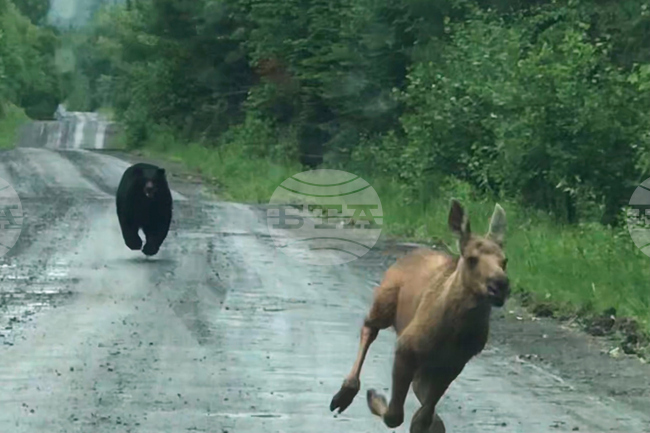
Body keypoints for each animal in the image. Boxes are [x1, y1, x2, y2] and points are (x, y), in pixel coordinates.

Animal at [329, 199, 509, 433]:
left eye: (505, 261)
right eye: (471, 259)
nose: (500, 285)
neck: (456, 331)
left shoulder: (454, 363)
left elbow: (423, 416)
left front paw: (428, 422)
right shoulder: (406, 347)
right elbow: (395, 415)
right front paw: (375, 397)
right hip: (384, 301)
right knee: (370, 327)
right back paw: (346, 393)